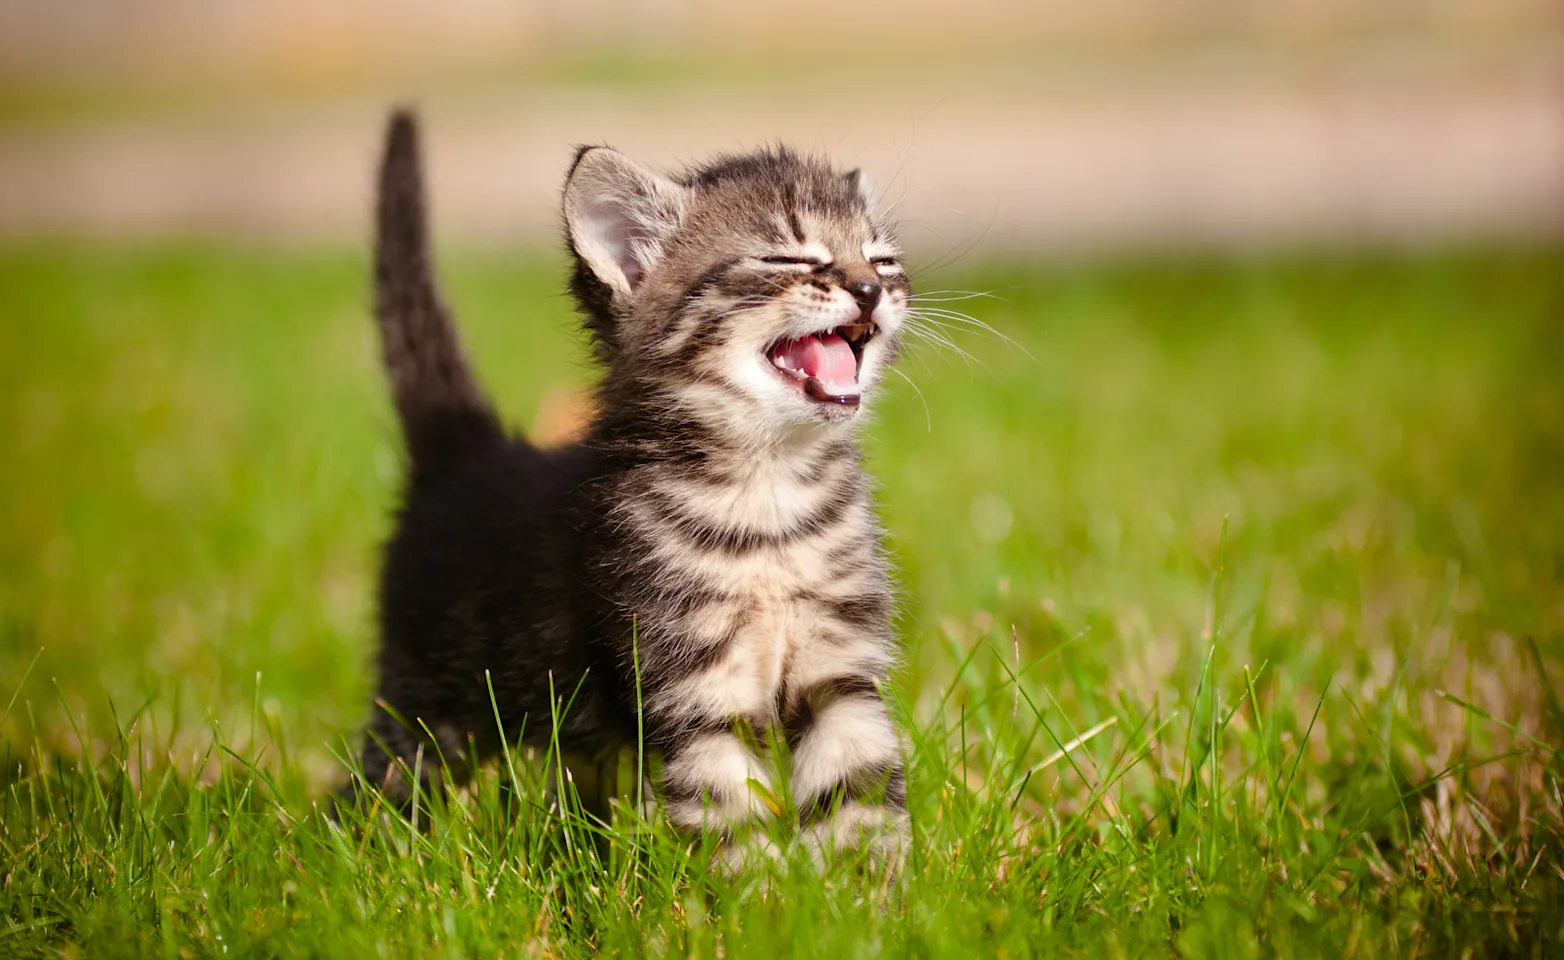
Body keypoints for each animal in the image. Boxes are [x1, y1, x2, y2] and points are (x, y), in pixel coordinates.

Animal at [355, 109, 913, 863]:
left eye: (882, 259)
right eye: (787, 259)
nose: (870, 289)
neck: (768, 493)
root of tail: (469, 453)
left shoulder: (843, 668)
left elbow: (859, 789)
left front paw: (867, 890)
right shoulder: (691, 684)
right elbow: (728, 812)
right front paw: (758, 892)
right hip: (424, 703)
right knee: (380, 782)